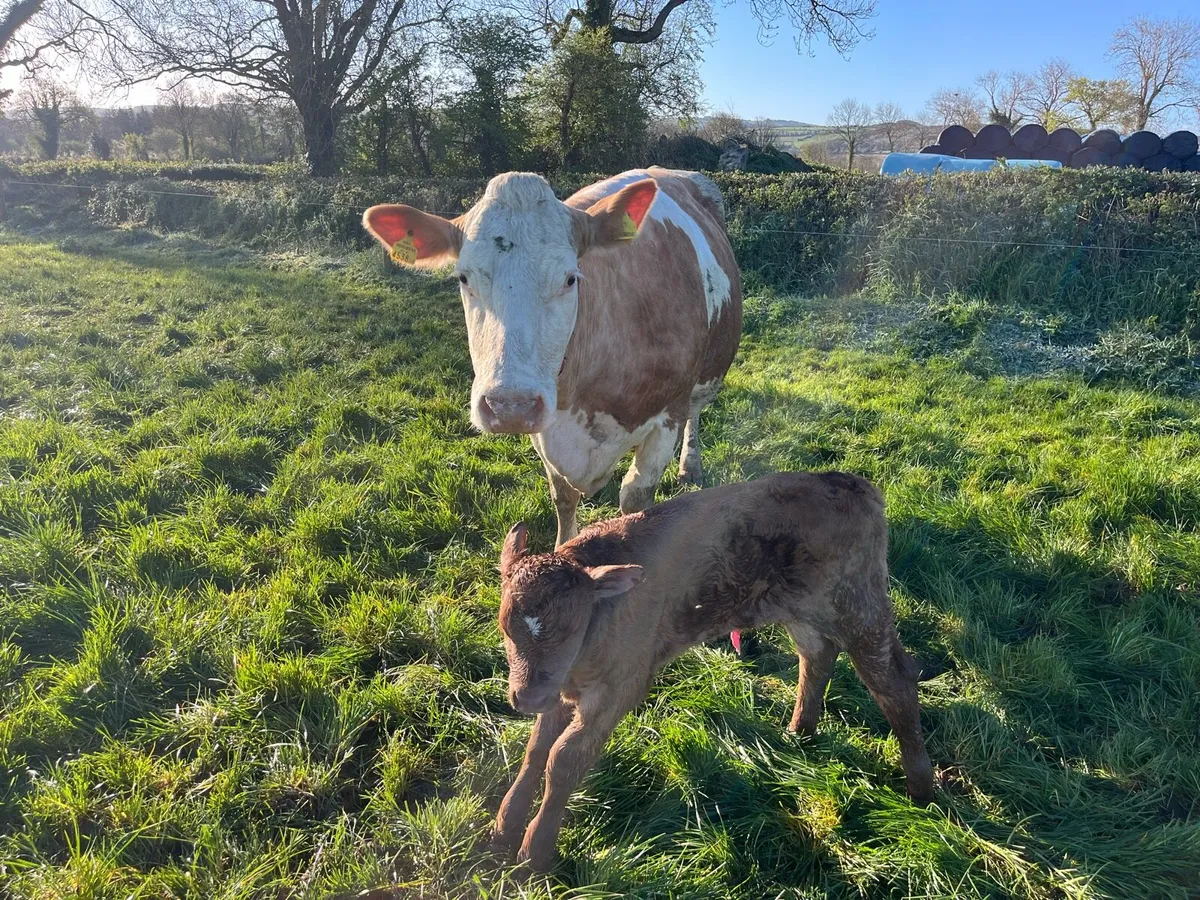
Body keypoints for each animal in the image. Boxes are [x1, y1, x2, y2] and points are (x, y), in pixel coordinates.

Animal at [362, 168, 742, 547]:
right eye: (463, 278)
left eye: (570, 279)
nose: (510, 407)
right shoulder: (547, 429)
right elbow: (563, 495)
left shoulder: (667, 417)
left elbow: (635, 497)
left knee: (695, 412)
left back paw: (690, 466)